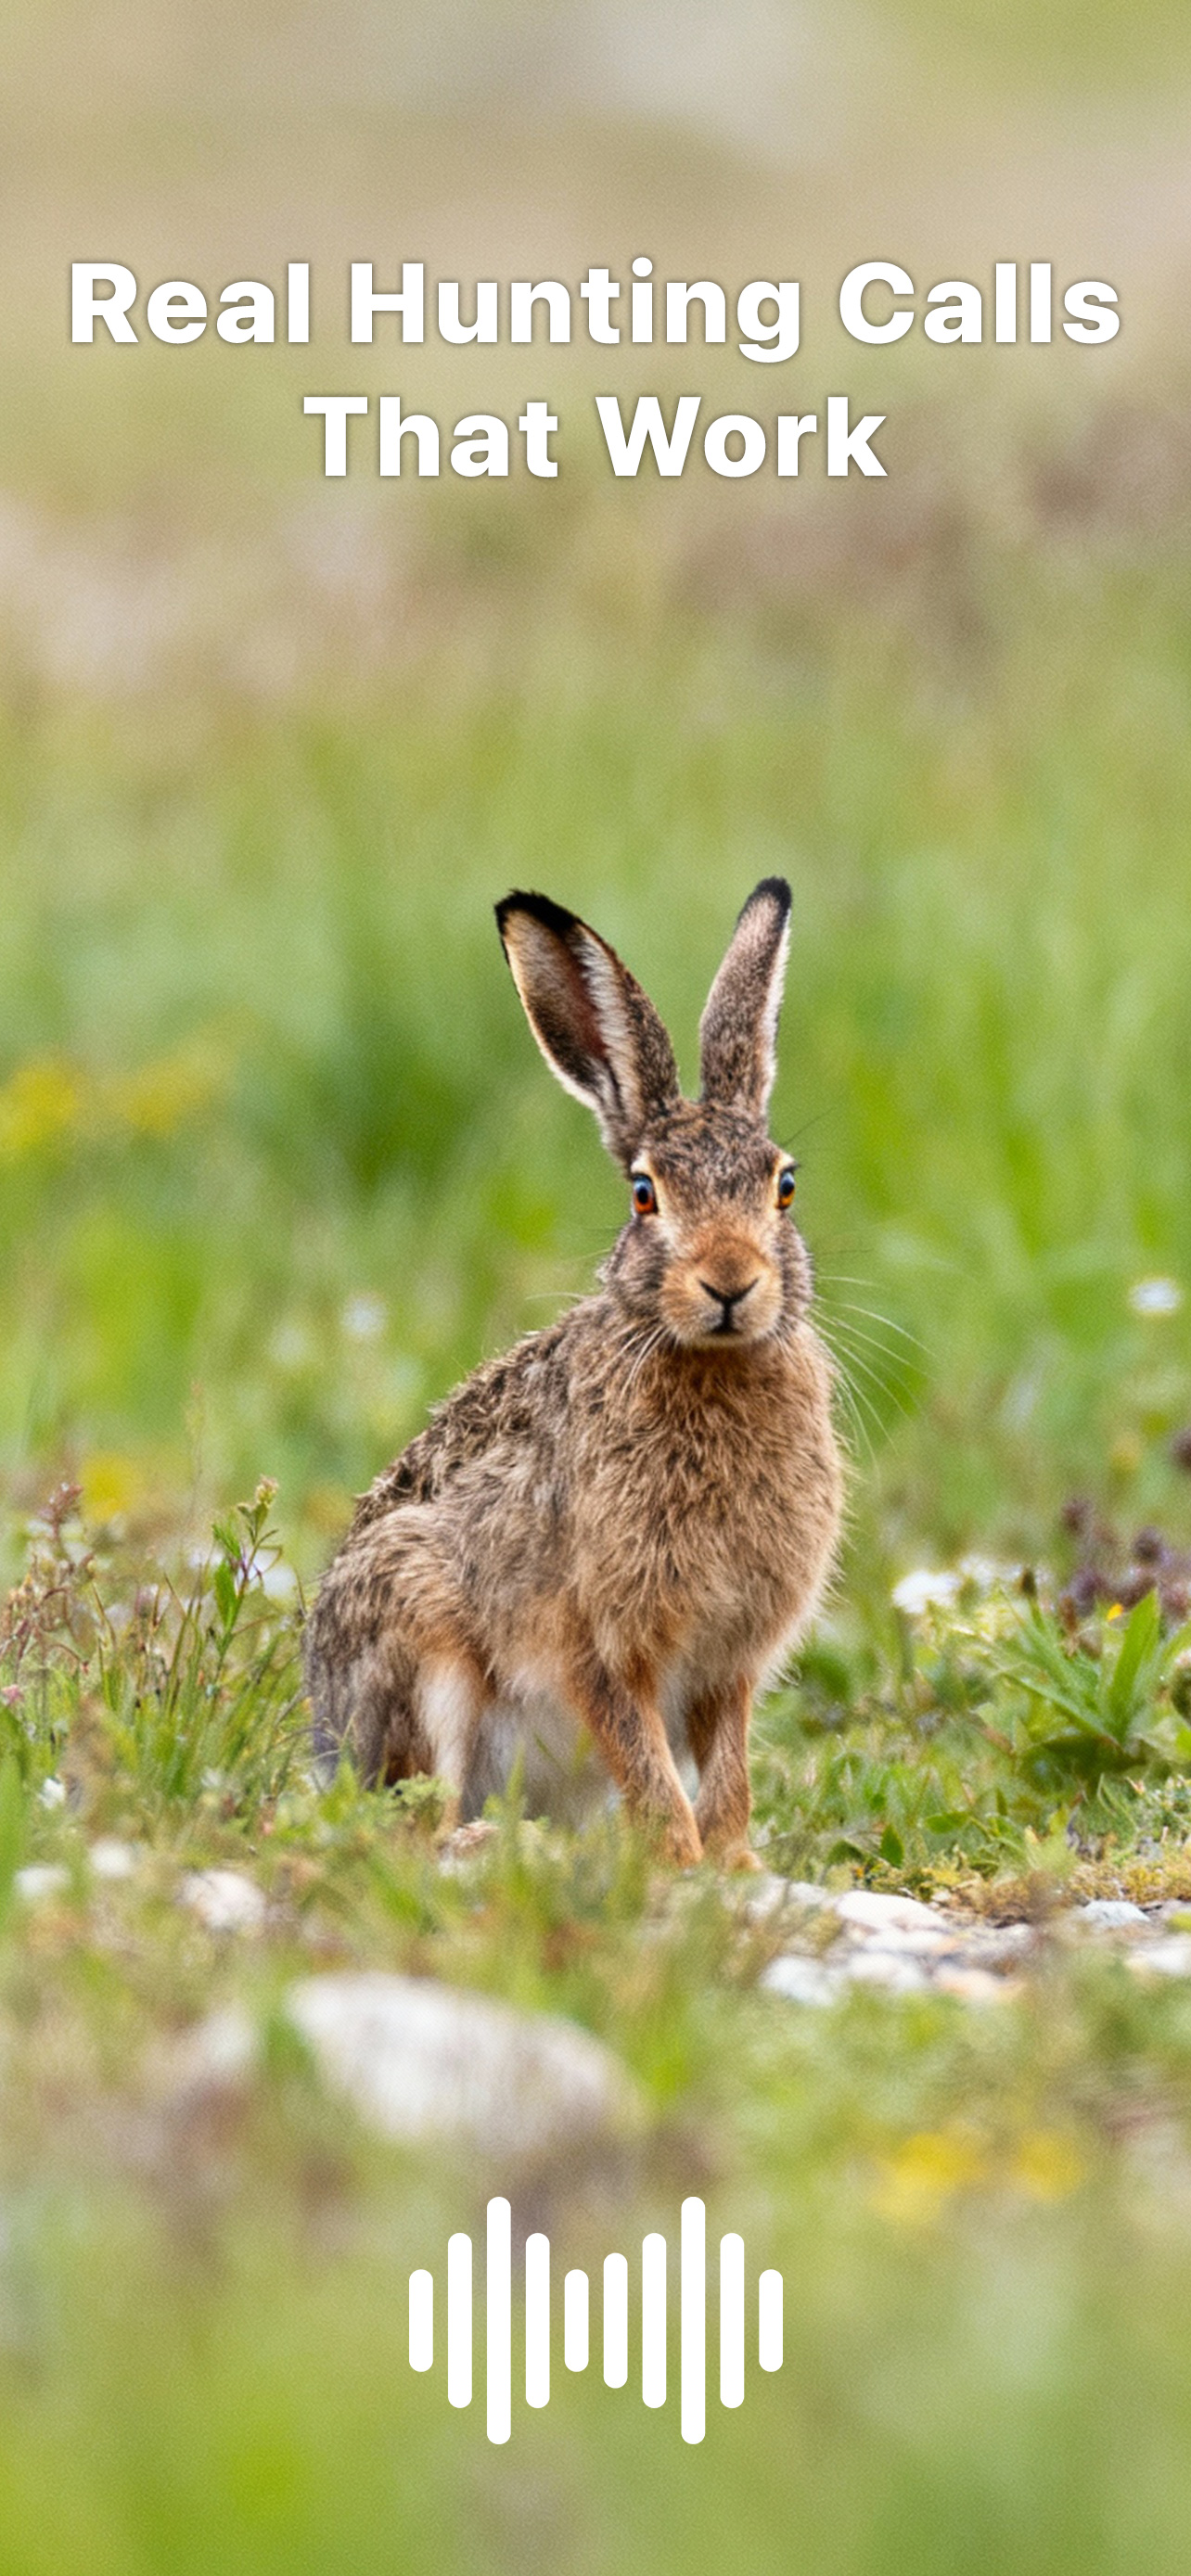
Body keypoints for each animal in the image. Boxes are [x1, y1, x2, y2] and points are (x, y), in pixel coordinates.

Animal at [304, 878, 843, 1868]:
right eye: (644, 1194)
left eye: (783, 1186)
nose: (731, 1282)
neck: (702, 1361)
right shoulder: (597, 1639)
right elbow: (642, 1752)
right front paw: (680, 1860)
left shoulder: (731, 1658)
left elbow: (731, 1762)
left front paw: (735, 1863)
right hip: (416, 1633)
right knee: (413, 1821)